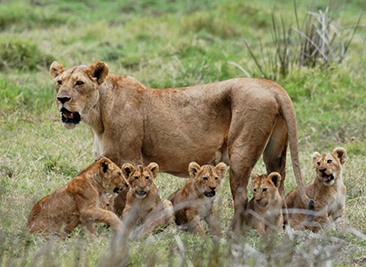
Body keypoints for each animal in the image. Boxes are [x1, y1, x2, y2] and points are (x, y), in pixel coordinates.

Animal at [49, 61, 314, 232]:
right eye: (59, 82)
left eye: (79, 83)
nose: (62, 99)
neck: (98, 114)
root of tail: (273, 86)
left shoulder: (129, 157)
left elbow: (121, 201)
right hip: (275, 153)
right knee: (278, 187)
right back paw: (278, 230)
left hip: (241, 152)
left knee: (241, 197)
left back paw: (231, 235)